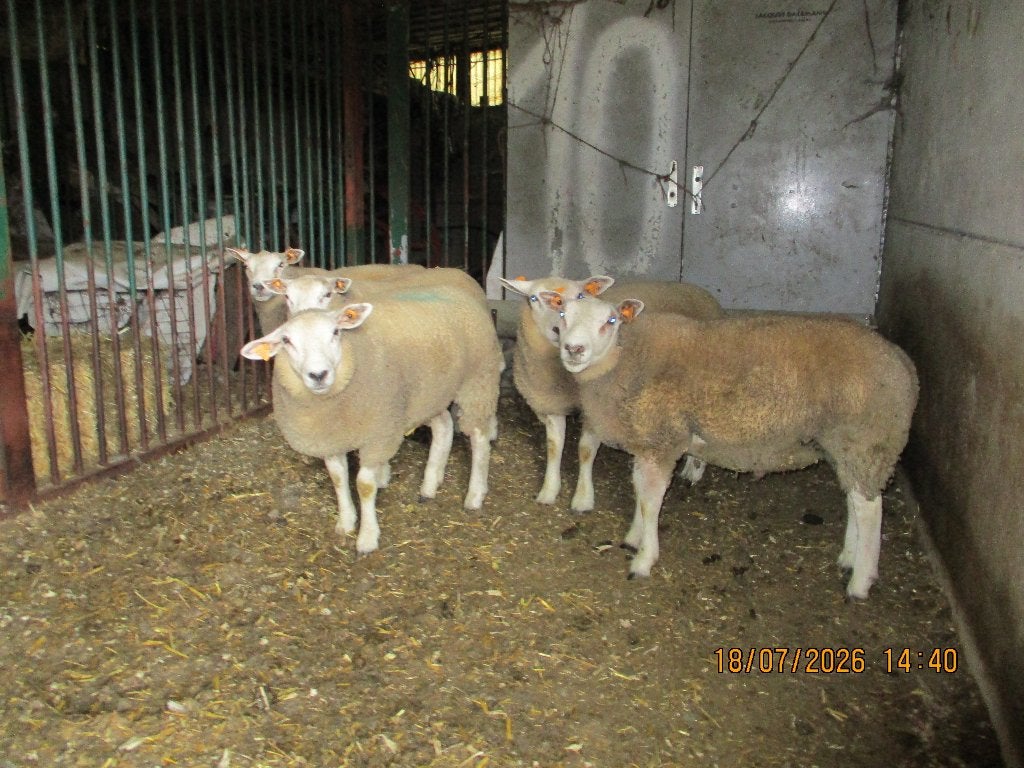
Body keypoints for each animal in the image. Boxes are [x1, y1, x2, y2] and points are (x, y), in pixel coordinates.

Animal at [240, 285, 502, 555]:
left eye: (336, 332)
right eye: (286, 341)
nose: (318, 374)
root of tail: (458, 290)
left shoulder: (378, 435)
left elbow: (364, 485)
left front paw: (367, 537)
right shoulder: (330, 439)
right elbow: (338, 478)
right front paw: (345, 522)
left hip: (477, 382)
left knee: (479, 438)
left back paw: (475, 494)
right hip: (429, 394)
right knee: (444, 426)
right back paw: (430, 485)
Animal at [498, 275, 723, 511]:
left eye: (580, 295)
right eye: (533, 298)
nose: (558, 332)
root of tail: (694, 287)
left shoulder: (597, 410)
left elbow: (585, 450)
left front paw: (583, 499)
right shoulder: (551, 401)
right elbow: (554, 446)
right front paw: (549, 490)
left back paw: (694, 469)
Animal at [542, 293, 918, 599]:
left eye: (610, 321)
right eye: (563, 315)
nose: (573, 349)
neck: (629, 355)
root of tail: (904, 364)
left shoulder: (664, 440)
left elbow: (651, 501)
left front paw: (644, 559)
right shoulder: (649, 441)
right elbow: (640, 492)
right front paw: (635, 535)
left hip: (865, 441)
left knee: (870, 508)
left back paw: (861, 580)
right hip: (845, 447)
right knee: (855, 499)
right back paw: (849, 558)